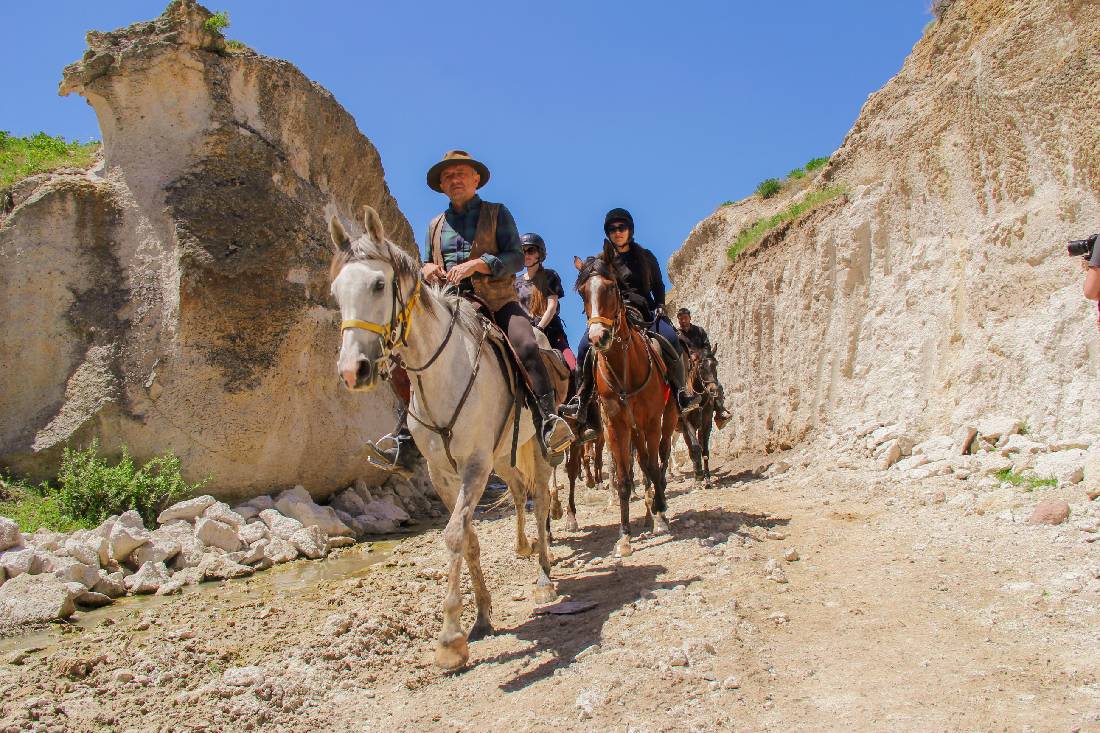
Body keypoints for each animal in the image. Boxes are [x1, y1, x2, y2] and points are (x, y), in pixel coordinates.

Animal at [321, 203, 554, 669]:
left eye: (379, 284)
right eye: (337, 292)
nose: (353, 371)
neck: (443, 374)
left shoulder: (475, 466)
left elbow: (453, 535)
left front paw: (450, 639)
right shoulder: (443, 474)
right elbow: (469, 538)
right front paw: (481, 617)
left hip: (535, 446)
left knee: (539, 503)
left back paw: (543, 575)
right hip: (505, 455)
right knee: (520, 491)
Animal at [576, 255, 677, 554]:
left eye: (611, 288)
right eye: (582, 293)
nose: (598, 337)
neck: (624, 371)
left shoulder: (652, 422)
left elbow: (653, 467)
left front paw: (661, 513)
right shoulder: (614, 427)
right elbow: (623, 477)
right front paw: (624, 535)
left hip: (667, 419)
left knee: (661, 458)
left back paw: (656, 508)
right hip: (633, 430)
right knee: (641, 463)